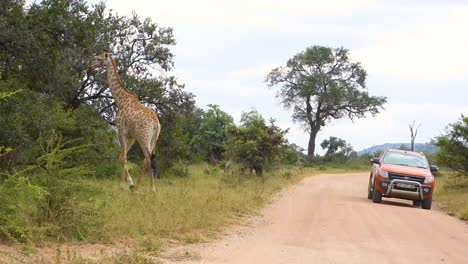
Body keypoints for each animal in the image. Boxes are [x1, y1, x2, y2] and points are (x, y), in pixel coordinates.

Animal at [90, 51, 162, 192]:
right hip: (152, 139)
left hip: (144, 137)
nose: (90, 67)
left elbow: (123, 158)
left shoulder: (121, 130)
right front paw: (130, 182)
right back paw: (139, 187)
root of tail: (156, 123)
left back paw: (150, 189)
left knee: (148, 159)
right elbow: (120, 157)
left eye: (99, 59)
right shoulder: (131, 136)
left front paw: (121, 185)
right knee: (146, 160)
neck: (121, 99)